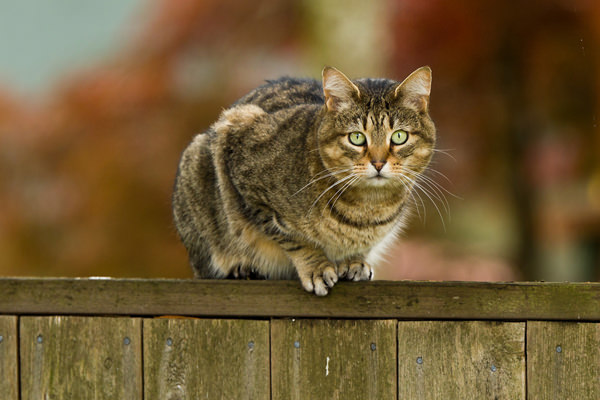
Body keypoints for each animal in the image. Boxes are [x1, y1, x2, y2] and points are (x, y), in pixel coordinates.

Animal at [173, 67, 436, 296]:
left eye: (399, 137)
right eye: (357, 138)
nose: (379, 163)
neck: (366, 209)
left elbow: (362, 247)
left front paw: (354, 261)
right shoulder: (247, 181)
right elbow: (293, 238)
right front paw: (316, 267)